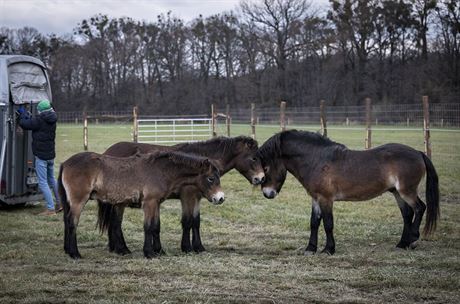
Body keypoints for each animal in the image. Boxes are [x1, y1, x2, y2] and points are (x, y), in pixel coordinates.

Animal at [58, 150, 224, 258]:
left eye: (218, 177)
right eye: (211, 178)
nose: (220, 198)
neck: (161, 170)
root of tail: (65, 163)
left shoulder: (156, 203)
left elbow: (156, 226)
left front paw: (159, 251)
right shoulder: (149, 203)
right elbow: (148, 227)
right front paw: (149, 253)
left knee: (66, 220)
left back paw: (68, 250)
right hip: (78, 201)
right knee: (72, 222)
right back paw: (75, 253)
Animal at [99, 135, 264, 254]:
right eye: (253, 158)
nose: (261, 178)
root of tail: (107, 153)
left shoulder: (197, 198)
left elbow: (196, 222)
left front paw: (198, 247)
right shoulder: (187, 197)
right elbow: (187, 221)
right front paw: (187, 247)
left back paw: (114, 247)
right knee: (116, 222)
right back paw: (122, 249)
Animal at [256, 129, 440, 255]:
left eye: (266, 167)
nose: (267, 193)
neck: (317, 160)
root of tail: (418, 153)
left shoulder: (326, 199)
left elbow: (328, 223)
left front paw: (328, 249)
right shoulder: (315, 198)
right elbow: (314, 222)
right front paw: (310, 248)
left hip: (406, 191)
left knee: (420, 208)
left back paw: (414, 239)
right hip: (396, 192)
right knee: (407, 214)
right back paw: (402, 243)